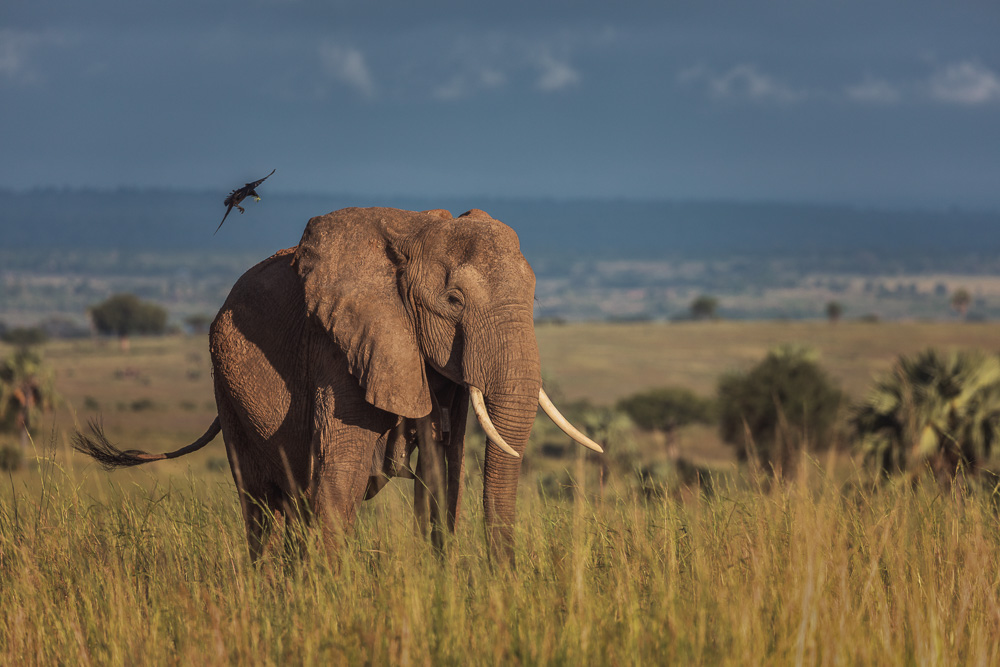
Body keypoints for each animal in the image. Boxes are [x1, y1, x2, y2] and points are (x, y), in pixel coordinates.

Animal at [74, 206, 601, 562]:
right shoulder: (340, 347)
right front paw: (333, 597)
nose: (501, 577)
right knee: (261, 502)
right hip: (226, 385)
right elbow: (340, 476)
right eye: (453, 300)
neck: (416, 233)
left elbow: (440, 472)